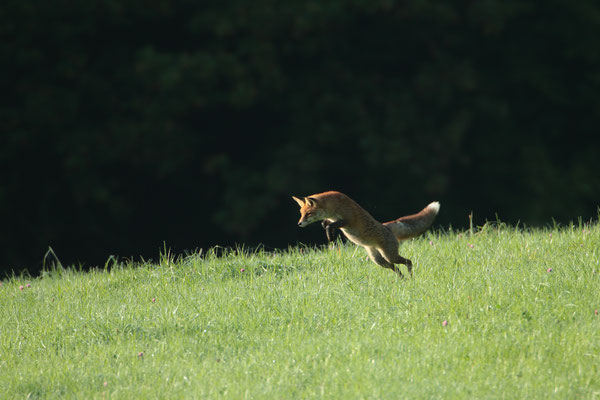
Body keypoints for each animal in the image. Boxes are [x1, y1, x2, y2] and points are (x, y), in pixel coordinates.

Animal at [292, 191, 438, 276]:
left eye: (308, 214)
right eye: (301, 213)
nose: (299, 223)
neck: (335, 205)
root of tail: (386, 226)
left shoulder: (348, 220)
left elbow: (330, 225)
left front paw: (330, 235)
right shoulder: (334, 219)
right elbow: (325, 223)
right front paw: (329, 233)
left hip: (389, 256)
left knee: (408, 261)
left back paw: (411, 277)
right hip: (379, 260)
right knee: (395, 268)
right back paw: (403, 280)